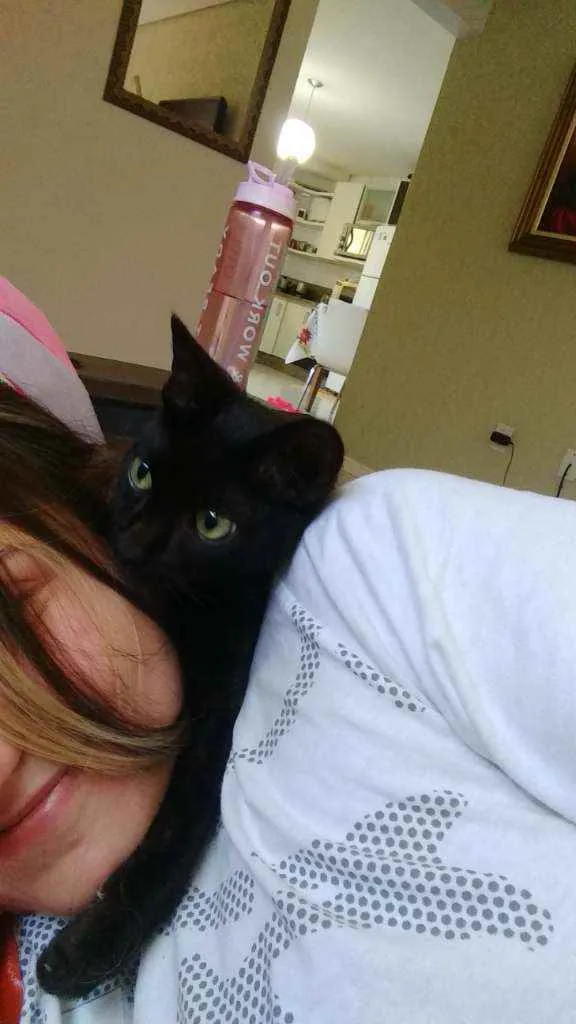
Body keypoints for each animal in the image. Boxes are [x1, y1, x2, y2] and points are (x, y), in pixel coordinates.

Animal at [37, 314, 344, 999]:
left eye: (212, 524)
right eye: (144, 474)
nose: (134, 544)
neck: (184, 612)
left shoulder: (217, 721)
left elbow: (177, 836)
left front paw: (89, 948)